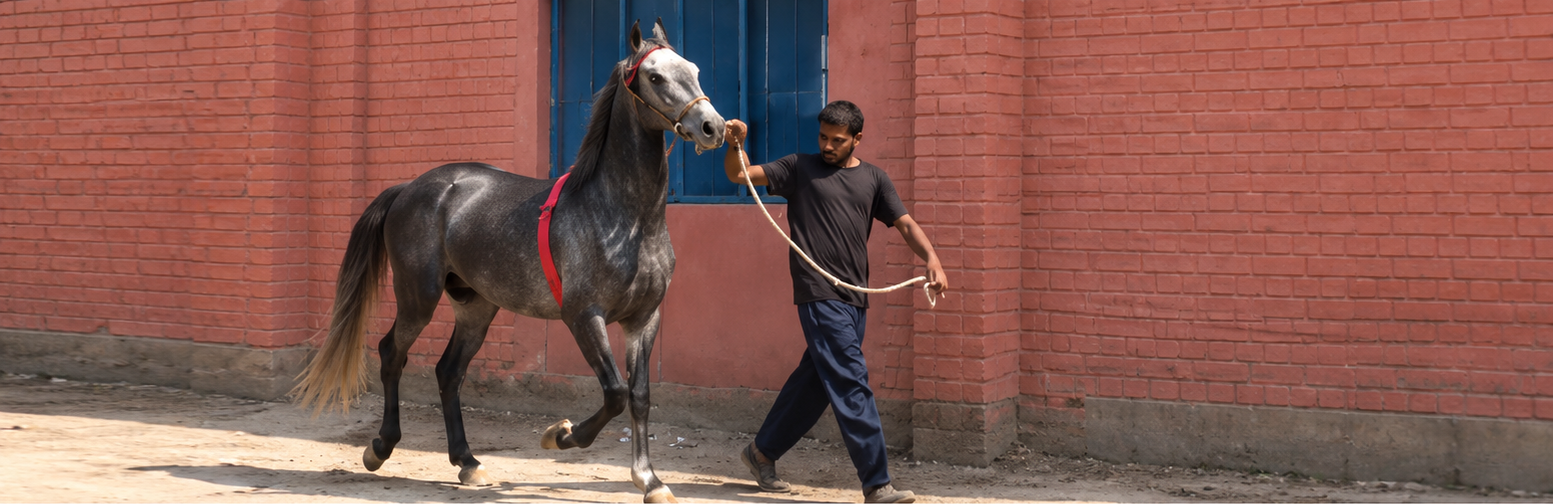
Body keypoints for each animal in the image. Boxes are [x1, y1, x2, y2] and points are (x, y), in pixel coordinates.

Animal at [290, 19, 724, 503]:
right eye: (655, 77)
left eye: (694, 69)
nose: (713, 127)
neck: (624, 216)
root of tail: (409, 188)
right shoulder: (583, 315)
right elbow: (614, 392)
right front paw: (560, 435)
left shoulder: (644, 318)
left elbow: (640, 395)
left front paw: (650, 480)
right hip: (418, 297)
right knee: (391, 355)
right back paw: (380, 448)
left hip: (476, 306)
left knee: (449, 372)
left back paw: (468, 463)